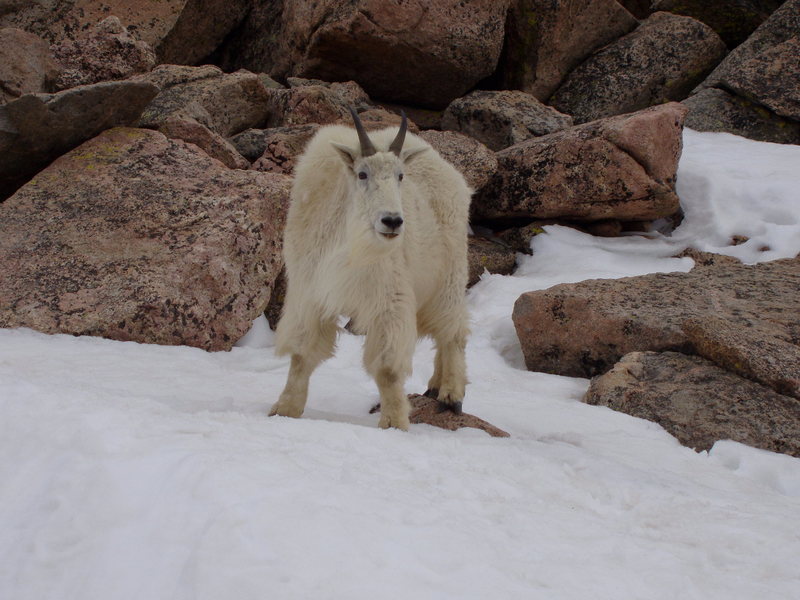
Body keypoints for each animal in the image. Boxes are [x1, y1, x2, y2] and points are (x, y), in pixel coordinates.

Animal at [272, 106, 472, 426]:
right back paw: (433, 386)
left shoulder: (388, 297)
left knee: (453, 332)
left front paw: (394, 422)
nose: (392, 221)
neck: (350, 242)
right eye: (362, 173)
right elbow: (302, 354)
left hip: (449, 274)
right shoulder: (311, 291)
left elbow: (388, 369)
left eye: (401, 176)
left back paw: (451, 395)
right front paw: (285, 409)